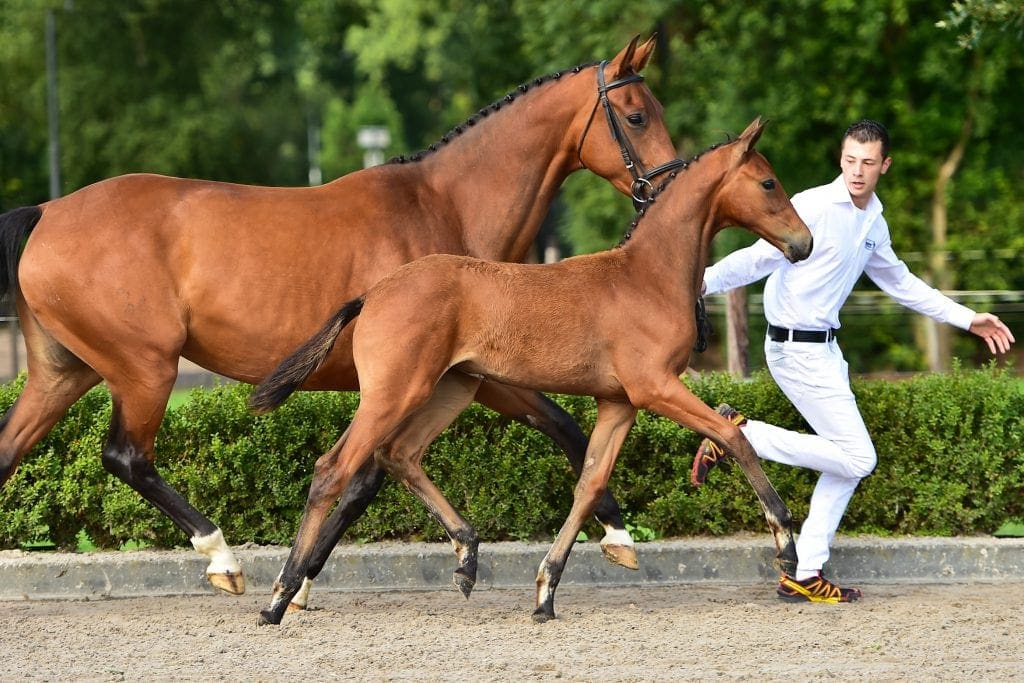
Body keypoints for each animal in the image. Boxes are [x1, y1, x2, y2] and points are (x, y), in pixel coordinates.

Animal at [0, 35, 682, 599]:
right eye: (637, 115)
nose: (668, 187)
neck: (445, 209)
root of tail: (48, 211)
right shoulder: (443, 376)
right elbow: (371, 476)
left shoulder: (458, 375)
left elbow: (543, 429)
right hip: (146, 369)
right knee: (128, 457)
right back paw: (222, 557)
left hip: (64, 372)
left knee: (11, 450)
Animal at [249, 117, 813, 625]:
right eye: (768, 182)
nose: (803, 243)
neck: (644, 276)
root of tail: (373, 293)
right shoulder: (655, 387)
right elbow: (733, 436)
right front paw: (787, 545)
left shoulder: (619, 402)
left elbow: (589, 484)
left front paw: (546, 591)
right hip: (396, 392)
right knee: (334, 469)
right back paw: (279, 598)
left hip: (451, 389)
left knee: (399, 454)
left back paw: (467, 558)